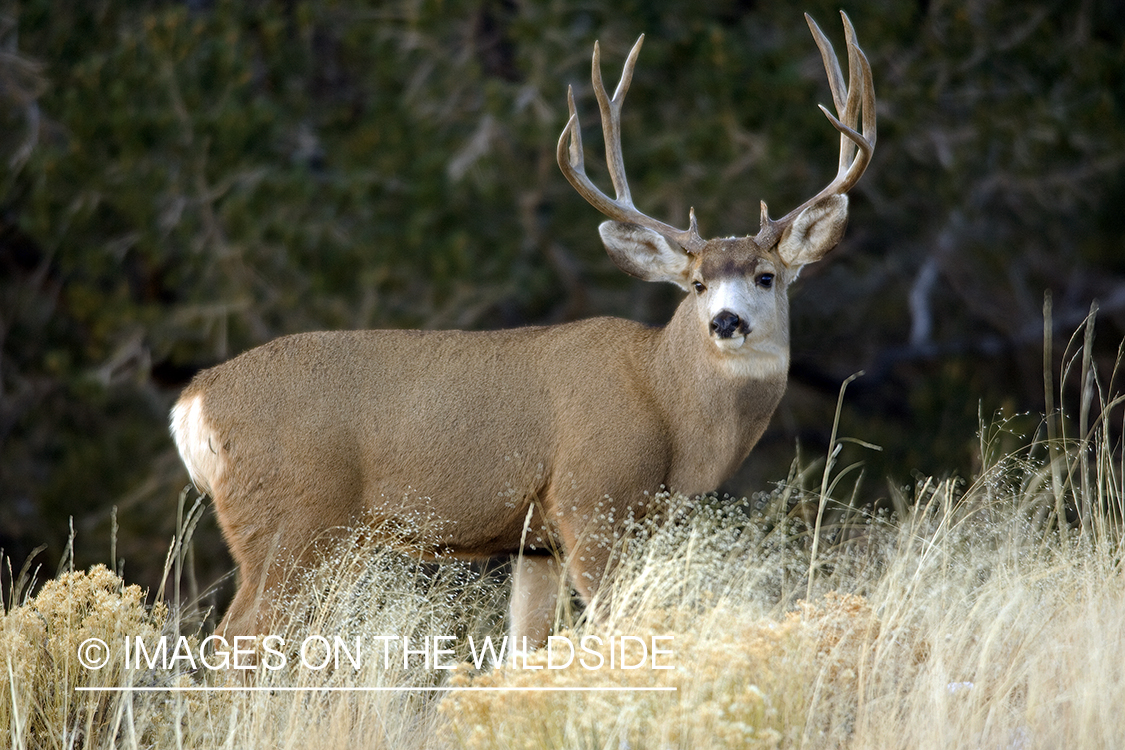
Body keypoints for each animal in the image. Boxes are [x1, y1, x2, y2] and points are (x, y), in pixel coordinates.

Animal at [171, 11, 875, 648]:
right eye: (698, 283)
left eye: (766, 276)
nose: (727, 321)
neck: (666, 404)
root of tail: (193, 400)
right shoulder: (592, 499)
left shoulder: (538, 543)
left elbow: (523, 650)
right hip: (292, 520)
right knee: (235, 639)